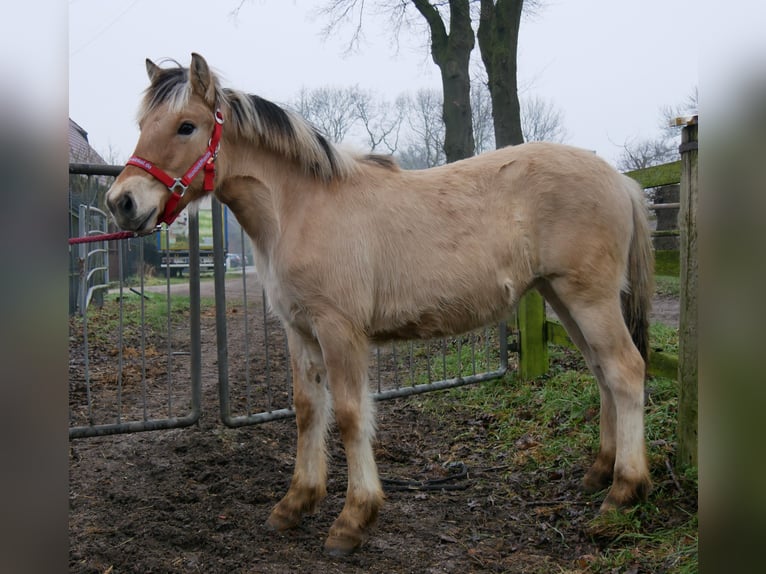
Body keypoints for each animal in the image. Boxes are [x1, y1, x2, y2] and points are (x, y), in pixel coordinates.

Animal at [105, 54, 656, 560]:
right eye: (143, 125)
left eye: (186, 126)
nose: (122, 202)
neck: (299, 209)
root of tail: (621, 180)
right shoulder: (299, 331)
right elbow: (308, 409)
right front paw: (296, 503)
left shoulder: (340, 330)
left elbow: (350, 414)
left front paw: (353, 519)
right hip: (563, 298)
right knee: (602, 372)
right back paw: (599, 472)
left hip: (589, 298)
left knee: (625, 370)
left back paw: (623, 492)